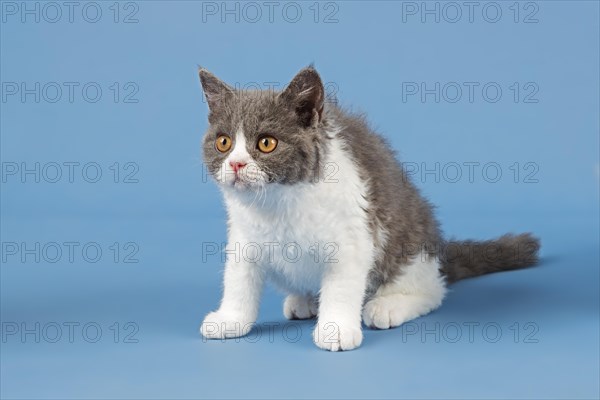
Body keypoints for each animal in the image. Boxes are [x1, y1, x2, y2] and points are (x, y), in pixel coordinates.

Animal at [197, 67, 540, 352]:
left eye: (266, 143)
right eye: (224, 143)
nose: (237, 164)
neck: (277, 202)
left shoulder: (354, 235)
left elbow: (341, 286)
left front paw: (335, 329)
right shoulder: (244, 236)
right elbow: (238, 280)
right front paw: (230, 319)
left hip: (410, 247)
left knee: (433, 290)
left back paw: (387, 306)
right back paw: (304, 299)